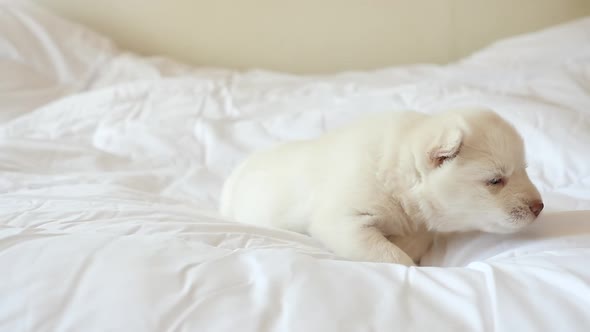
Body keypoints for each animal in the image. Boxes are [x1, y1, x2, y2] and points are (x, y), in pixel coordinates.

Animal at [220, 110, 544, 266]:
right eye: (495, 180)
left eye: (525, 169)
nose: (539, 207)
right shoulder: (341, 221)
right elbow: (391, 256)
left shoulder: (419, 224)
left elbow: (417, 238)